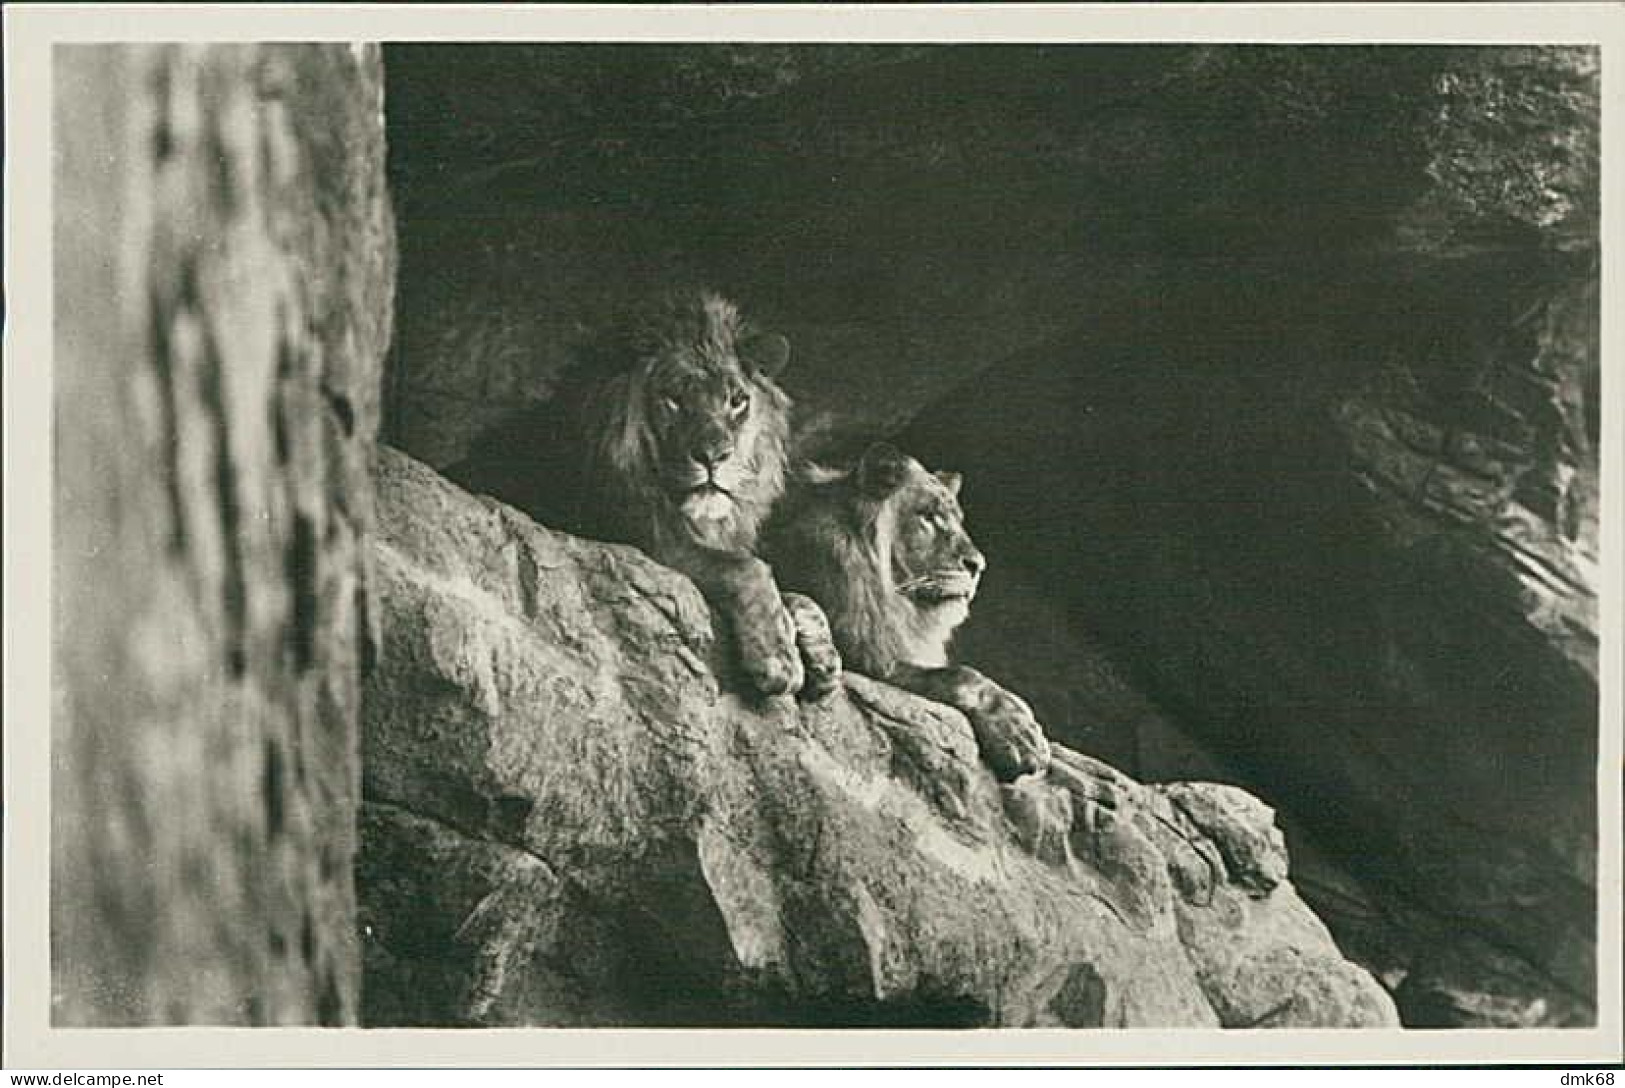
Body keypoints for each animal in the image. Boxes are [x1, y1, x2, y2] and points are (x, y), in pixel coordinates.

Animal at [455, 292, 838, 698]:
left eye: (737, 400)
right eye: (674, 398)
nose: (714, 456)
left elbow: (799, 594)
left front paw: (822, 653)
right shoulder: (647, 543)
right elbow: (748, 568)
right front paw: (779, 659)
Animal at [770, 438, 1053, 779]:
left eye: (959, 520)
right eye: (928, 517)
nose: (977, 565)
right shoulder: (870, 658)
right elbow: (963, 675)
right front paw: (1022, 733)